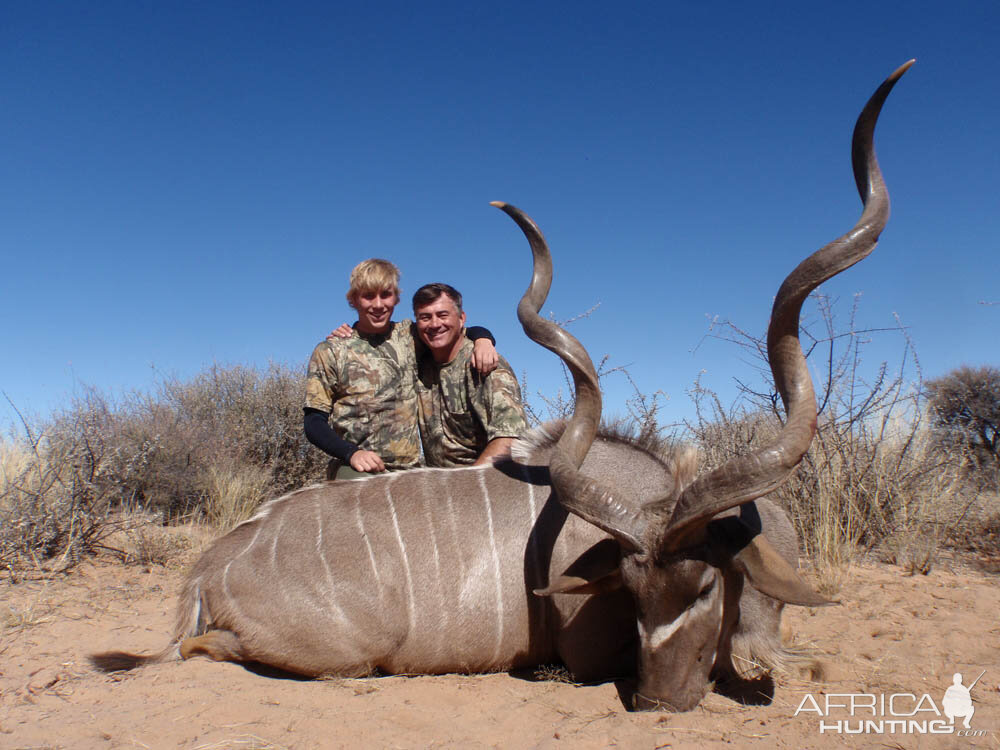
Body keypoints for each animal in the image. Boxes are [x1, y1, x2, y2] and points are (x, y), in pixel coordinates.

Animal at [90, 63, 912, 712]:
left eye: (705, 587)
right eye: (633, 591)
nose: (660, 702)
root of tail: (208, 567)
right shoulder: (587, 654)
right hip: (343, 653)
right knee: (208, 651)